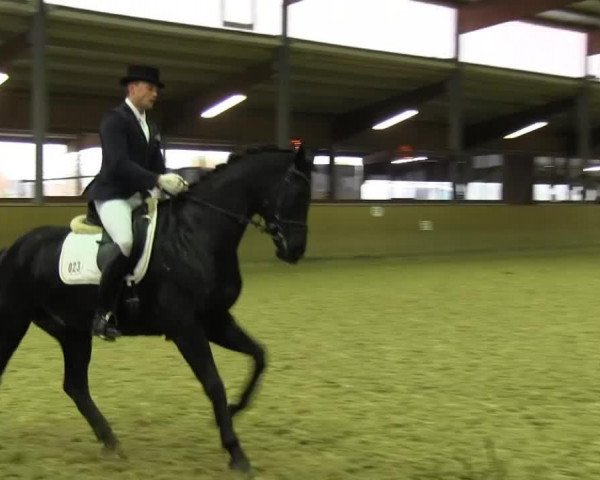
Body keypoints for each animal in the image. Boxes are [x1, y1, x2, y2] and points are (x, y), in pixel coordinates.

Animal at [0, 145, 312, 472]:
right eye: (296, 192)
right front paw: (236, 452)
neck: (195, 234)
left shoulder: (215, 320)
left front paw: (235, 408)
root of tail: (13, 249)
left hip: (72, 332)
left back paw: (112, 443)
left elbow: (259, 356)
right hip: (13, 321)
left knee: (75, 386)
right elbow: (214, 383)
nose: (294, 251)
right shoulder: (186, 327)